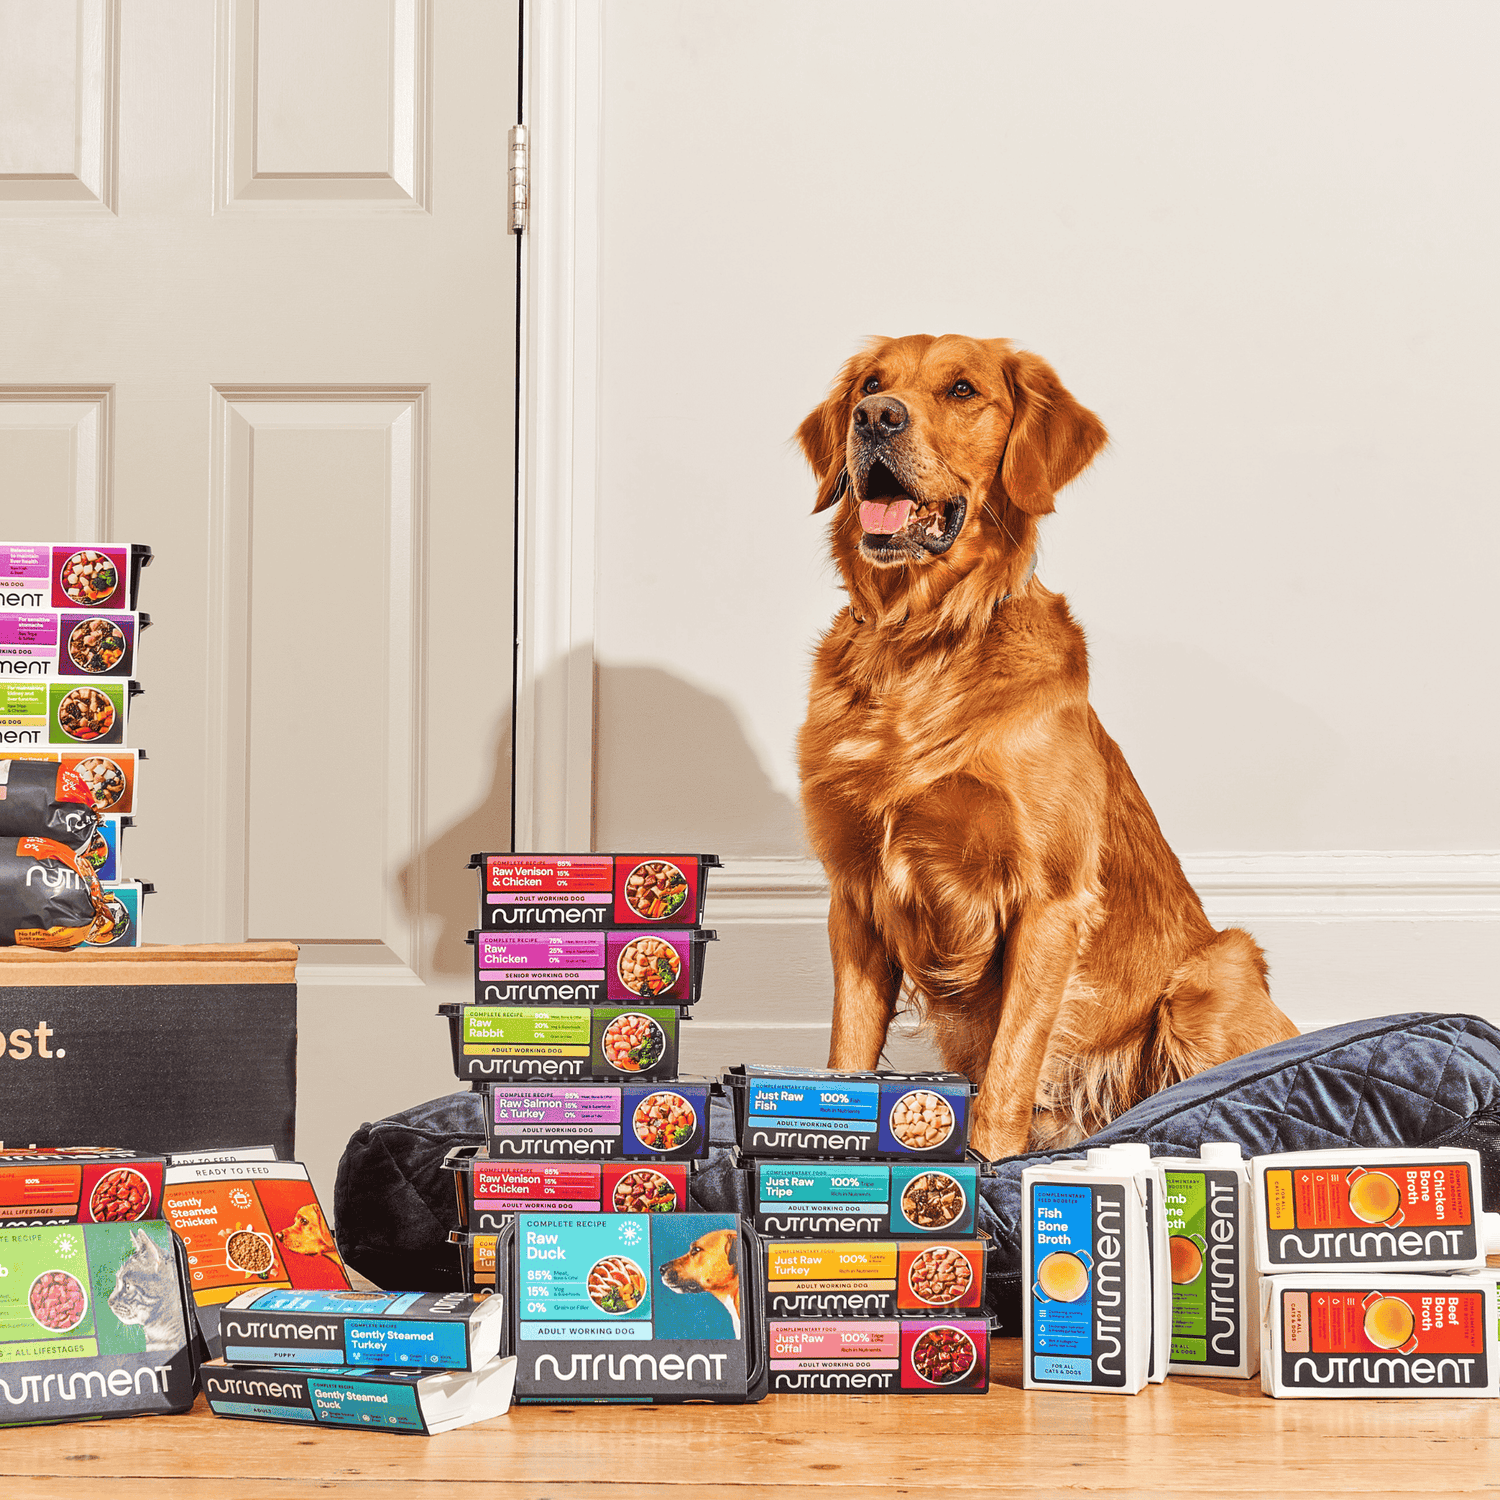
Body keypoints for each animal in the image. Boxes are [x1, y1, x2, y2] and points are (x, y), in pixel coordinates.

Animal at [798, 337, 1302, 1158]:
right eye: (871, 384)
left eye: (962, 390)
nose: (875, 418)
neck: (924, 644)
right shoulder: (855, 895)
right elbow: (847, 1052)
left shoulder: (1049, 901)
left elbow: (1011, 1067)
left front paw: (991, 1163)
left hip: (1212, 977)